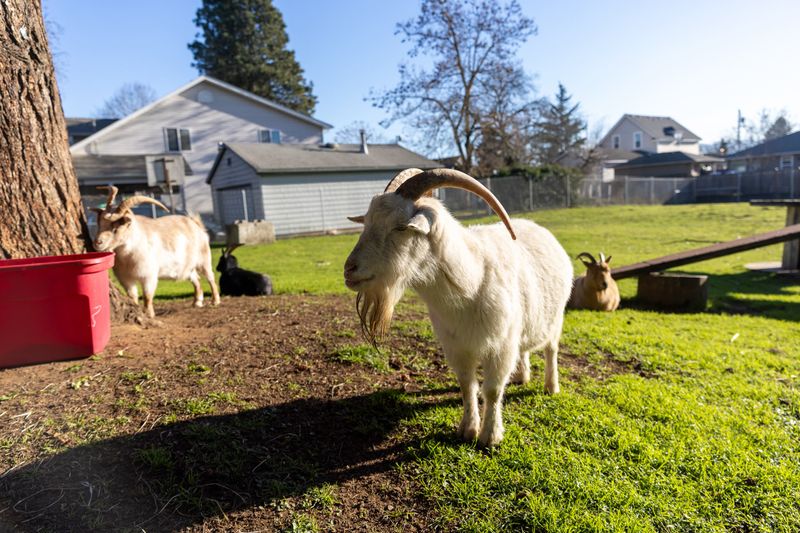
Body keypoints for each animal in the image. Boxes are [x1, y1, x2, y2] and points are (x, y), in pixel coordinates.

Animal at [91, 186, 220, 318]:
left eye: (116, 228)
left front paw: (149, 314)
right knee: (196, 279)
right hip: (187, 267)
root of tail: (196, 225)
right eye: (100, 225)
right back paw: (197, 302)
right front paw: (137, 310)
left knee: (210, 277)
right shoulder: (126, 278)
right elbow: (132, 296)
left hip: (204, 259)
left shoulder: (149, 275)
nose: (97, 243)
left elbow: (147, 296)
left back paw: (215, 301)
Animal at [344, 168, 573, 447]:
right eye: (366, 222)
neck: (471, 282)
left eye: (400, 226)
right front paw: (467, 429)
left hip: (555, 319)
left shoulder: (502, 345)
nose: (349, 269)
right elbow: (467, 385)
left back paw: (551, 386)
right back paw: (521, 376)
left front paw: (490, 436)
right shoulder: (456, 346)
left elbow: (492, 389)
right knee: (525, 350)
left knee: (551, 350)